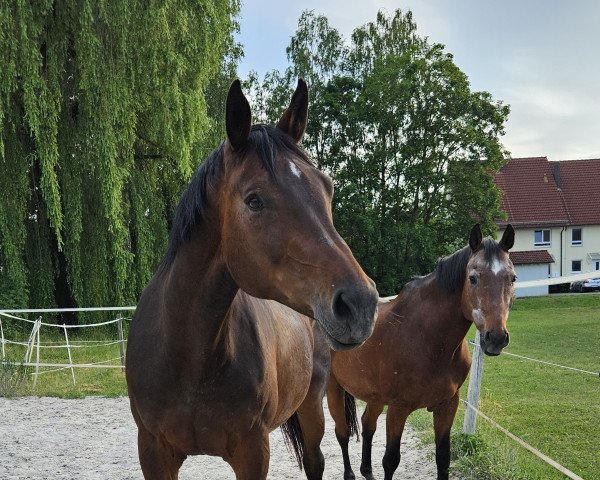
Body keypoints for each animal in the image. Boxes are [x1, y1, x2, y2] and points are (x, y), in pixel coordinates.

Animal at [125, 80, 380, 478]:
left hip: (311, 405)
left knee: (315, 461)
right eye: (254, 200)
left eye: (328, 188)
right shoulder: (153, 451)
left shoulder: (252, 451)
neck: (187, 355)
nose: (360, 304)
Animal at [326, 225, 512, 480]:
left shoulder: (447, 405)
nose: (496, 338)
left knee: (367, 425)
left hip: (374, 397)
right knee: (342, 433)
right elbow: (390, 460)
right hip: (333, 389)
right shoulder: (398, 409)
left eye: (512, 278)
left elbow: (443, 458)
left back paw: (367, 471)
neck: (429, 341)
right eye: (473, 278)